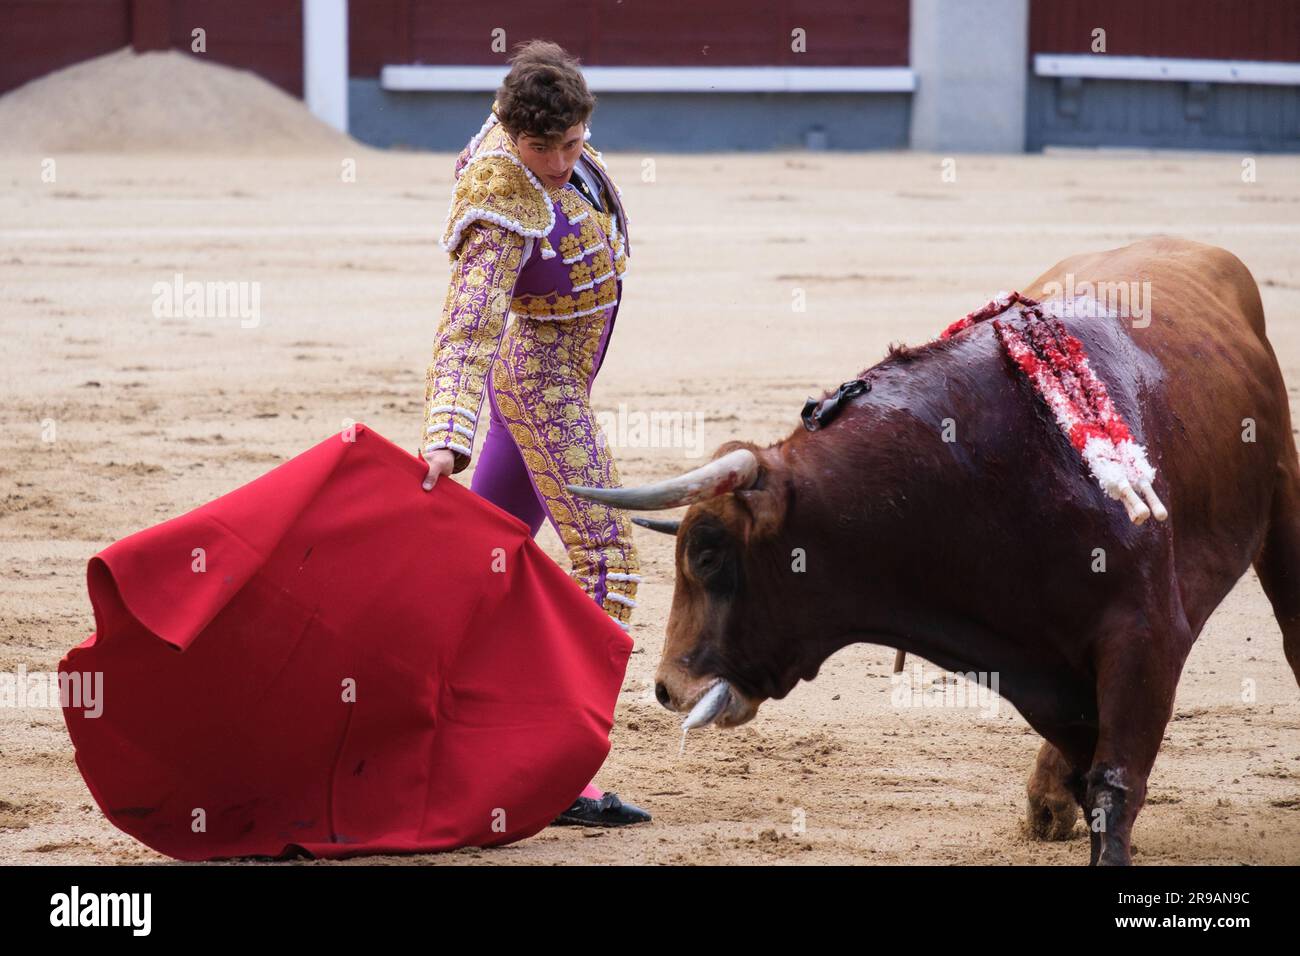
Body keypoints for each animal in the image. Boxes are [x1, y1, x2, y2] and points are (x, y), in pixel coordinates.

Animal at [569, 238, 1300, 868]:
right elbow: (1085, 761)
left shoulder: (1145, 635)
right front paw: (1054, 796)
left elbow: (1114, 783)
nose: (667, 687)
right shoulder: (1035, 666)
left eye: (709, 554)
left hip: (1282, 496)